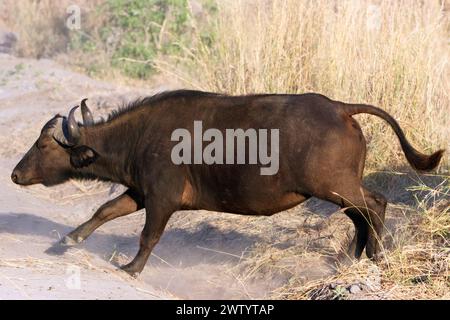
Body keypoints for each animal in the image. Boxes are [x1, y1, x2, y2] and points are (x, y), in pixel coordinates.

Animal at [9, 91, 442, 276]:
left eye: (43, 144)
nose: (14, 174)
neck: (139, 135)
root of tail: (339, 108)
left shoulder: (161, 199)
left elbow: (148, 236)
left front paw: (131, 269)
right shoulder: (141, 193)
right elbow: (105, 210)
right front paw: (67, 240)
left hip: (334, 186)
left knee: (376, 204)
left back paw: (377, 257)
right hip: (336, 190)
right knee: (360, 214)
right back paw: (354, 257)